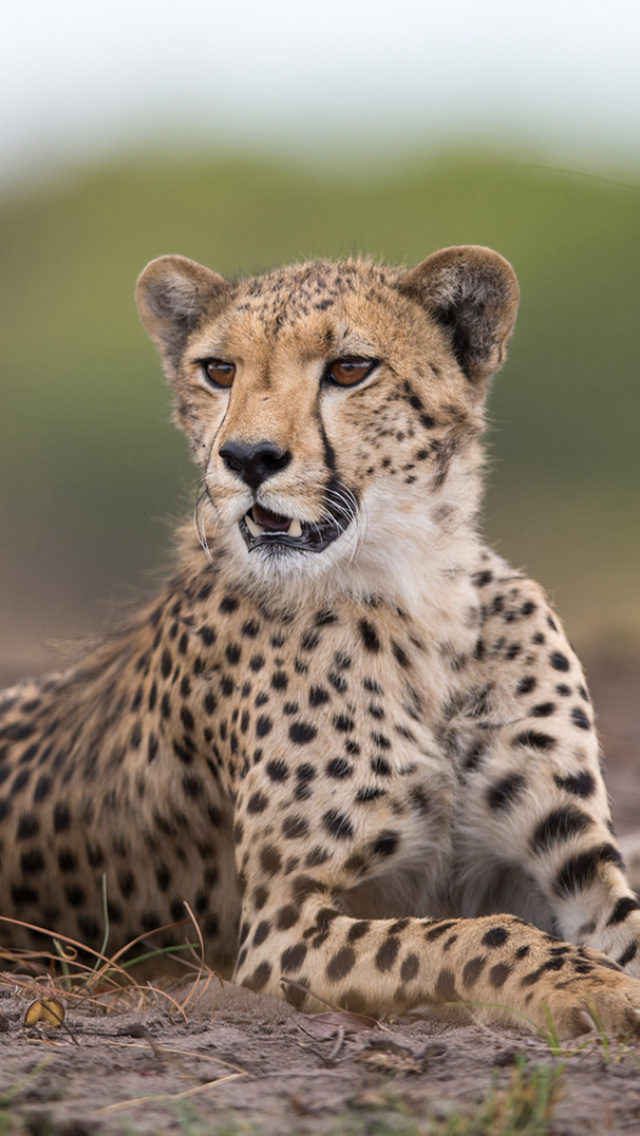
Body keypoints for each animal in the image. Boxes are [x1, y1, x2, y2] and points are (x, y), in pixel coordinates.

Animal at [1, 246, 640, 1040]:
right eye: (219, 370)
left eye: (349, 369)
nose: (248, 457)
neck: (415, 597)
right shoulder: (279, 927)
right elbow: (470, 934)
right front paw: (591, 985)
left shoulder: (574, 865)